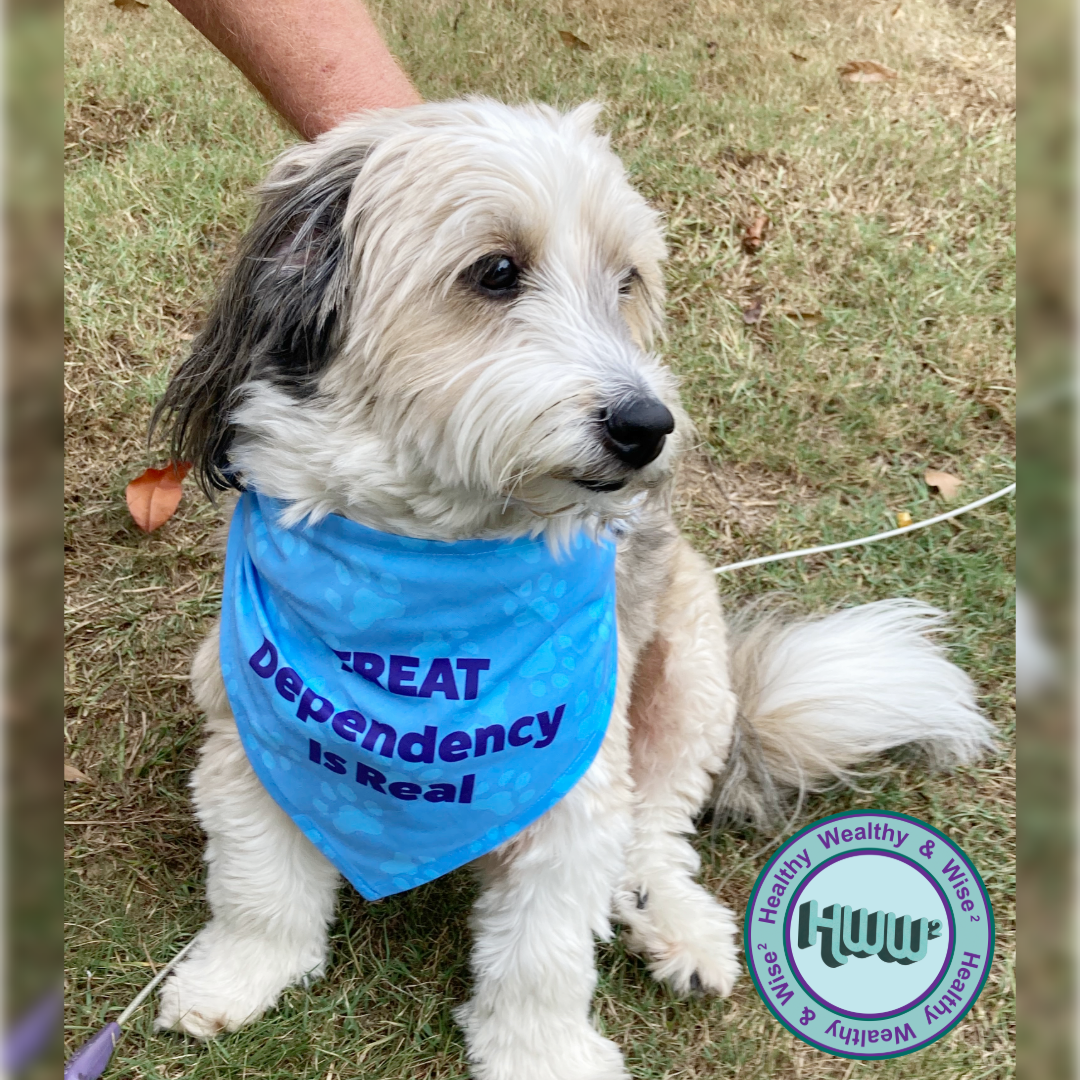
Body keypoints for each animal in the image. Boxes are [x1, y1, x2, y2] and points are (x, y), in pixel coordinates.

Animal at [147, 97, 989, 1075]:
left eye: (626, 281)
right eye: (497, 271)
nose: (648, 426)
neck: (432, 572)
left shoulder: (576, 785)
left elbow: (543, 951)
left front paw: (541, 1052)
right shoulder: (249, 742)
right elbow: (260, 887)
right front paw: (241, 974)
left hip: (688, 678)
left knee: (655, 835)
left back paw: (680, 928)